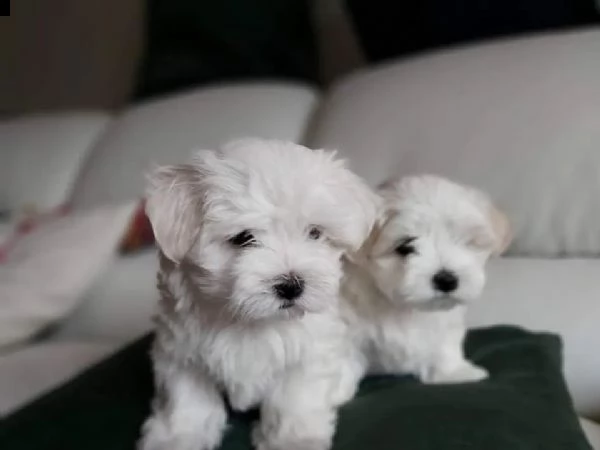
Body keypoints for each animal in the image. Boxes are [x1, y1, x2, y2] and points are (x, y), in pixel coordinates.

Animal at [138, 138, 378, 450]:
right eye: (243, 238)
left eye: (314, 233)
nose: (292, 285)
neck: (247, 321)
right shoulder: (180, 350)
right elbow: (187, 399)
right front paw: (177, 437)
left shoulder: (312, 350)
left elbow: (295, 397)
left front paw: (293, 440)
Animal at [342, 174, 510, 384]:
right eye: (405, 246)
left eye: (467, 243)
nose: (446, 280)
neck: (404, 307)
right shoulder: (349, 331)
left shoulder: (446, 324)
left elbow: (445, 345)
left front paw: (453, 373)